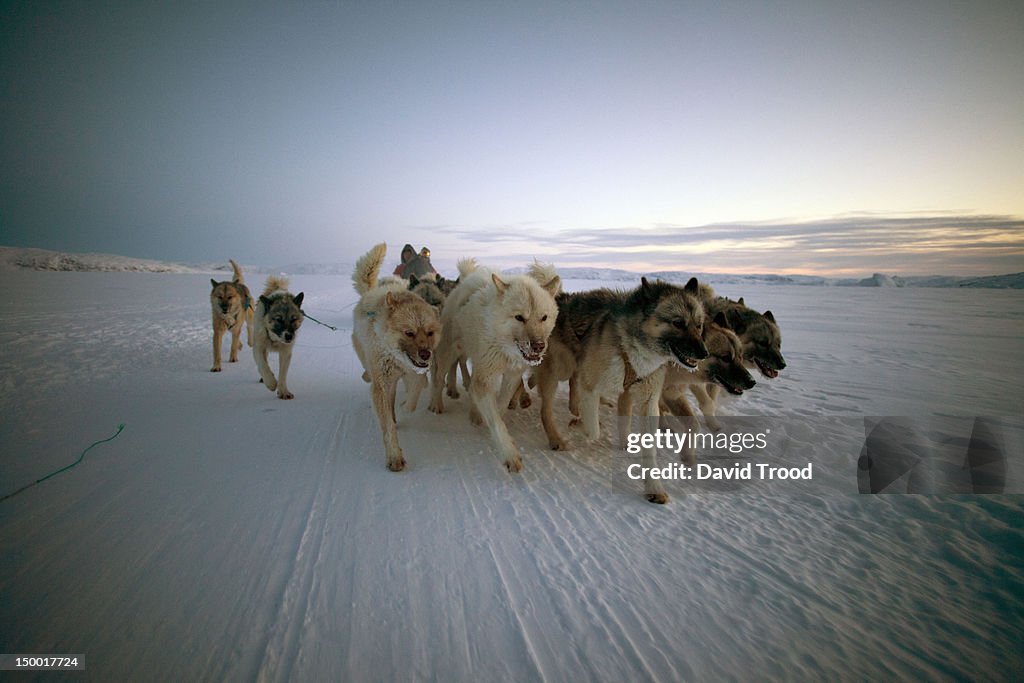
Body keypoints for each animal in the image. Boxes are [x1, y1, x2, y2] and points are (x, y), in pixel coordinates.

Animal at [352, 242, 440, 473]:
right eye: (409, 332)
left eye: (430, 332)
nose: (426, 354)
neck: (395, 357)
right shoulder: (382, 385)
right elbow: (388, 428)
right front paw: (394, 456)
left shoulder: (415, 373)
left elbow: (415, 392)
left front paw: (406, 408)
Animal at [430, 259, 565, 473]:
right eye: (519, 317)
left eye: (544, 317)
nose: (538, 346)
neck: (504, 347)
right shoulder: (485, 377)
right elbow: (496, 421)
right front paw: (509, 455)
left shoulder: (511, 376)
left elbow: (500, 409)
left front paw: (485, 419)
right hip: (448, 354)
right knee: (438, 379)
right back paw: (436, 404)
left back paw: (474, 413)